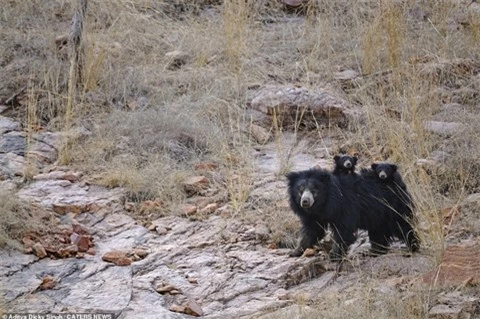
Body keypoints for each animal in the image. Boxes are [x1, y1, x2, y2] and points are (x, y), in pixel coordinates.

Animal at [286, 168, 418, 260]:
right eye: (300, 190)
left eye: (314, 190)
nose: (305, 202)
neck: (323, 205)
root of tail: (398, 181)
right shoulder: (313, 216)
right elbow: (312, 230)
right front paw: (295, 252)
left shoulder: (344, 207)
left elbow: (343, 230)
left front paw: (333, 254)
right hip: (378, 215)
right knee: (378, 232)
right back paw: (374, 251)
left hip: (393, 206)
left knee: (402, 225)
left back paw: (412, 247)